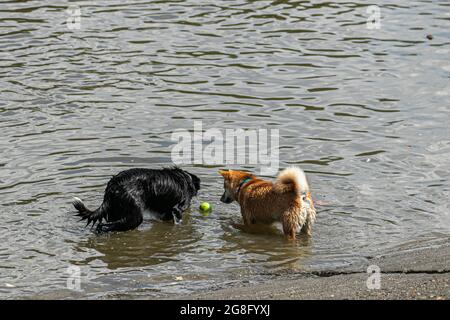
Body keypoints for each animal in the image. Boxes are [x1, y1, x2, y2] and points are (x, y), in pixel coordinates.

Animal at [72, 168, 200, 232]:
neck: (186, 178)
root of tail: (112, 184)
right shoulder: (177, 208)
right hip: (135, 216)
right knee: (104, 225)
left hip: (117, 212)